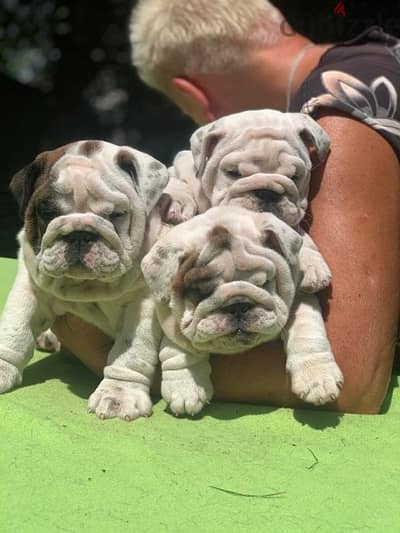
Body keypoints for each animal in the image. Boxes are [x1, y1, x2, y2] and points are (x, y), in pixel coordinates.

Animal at [0, 140, 170, 420]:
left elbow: (131, 351)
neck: (87, 287)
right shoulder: (30, 284)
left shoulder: (143, 303)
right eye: (48, 212)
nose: (79, 234)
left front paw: (118, 394)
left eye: (116, 215)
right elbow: (15, 329)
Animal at [141, 206, 344, 418]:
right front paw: (186, 388)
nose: (237, 306)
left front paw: (318, 377)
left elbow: (307, 331)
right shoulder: (170, 319)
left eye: (265, 283)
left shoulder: (300, 298)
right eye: (199, 292)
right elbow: (179, 350)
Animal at [162, 108, 332, 290]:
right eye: (233, 172)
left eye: (295, 177)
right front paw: (178, 200)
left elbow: (299, 235)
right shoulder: (181, 165)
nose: (267, 193)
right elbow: (175, 180)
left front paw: (311, 262)